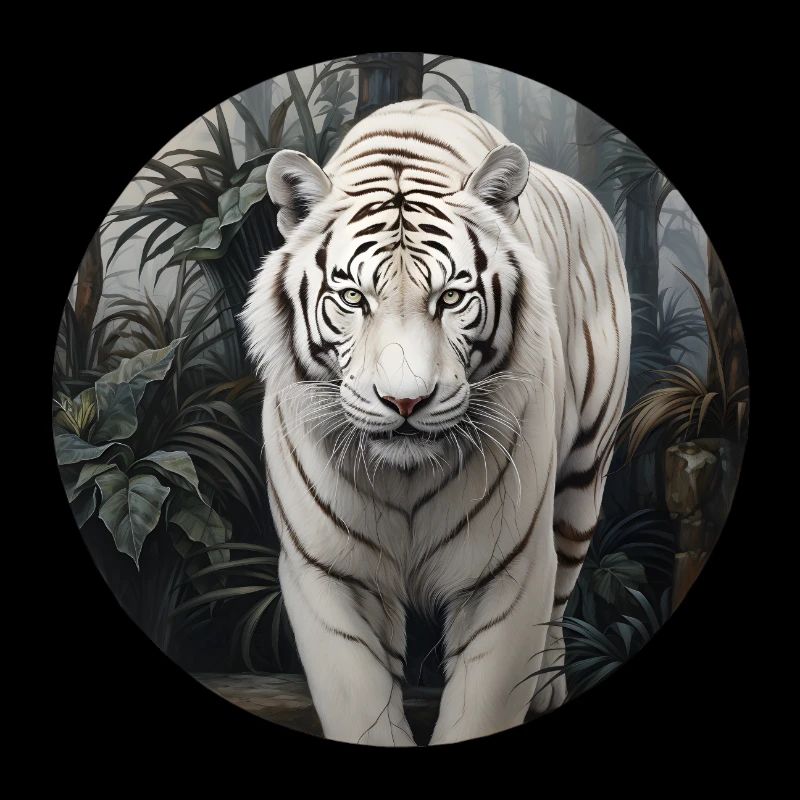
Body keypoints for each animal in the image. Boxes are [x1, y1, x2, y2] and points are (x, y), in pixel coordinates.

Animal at [241, 99, 631, 746]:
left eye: (450, 298)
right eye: (353, 299)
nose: (405, 402)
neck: (404, 479)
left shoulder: (506, 574)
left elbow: (486, 698)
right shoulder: (330, 574)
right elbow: (360, 705)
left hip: (582, 482)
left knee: (563, 583)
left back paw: (548, 685)